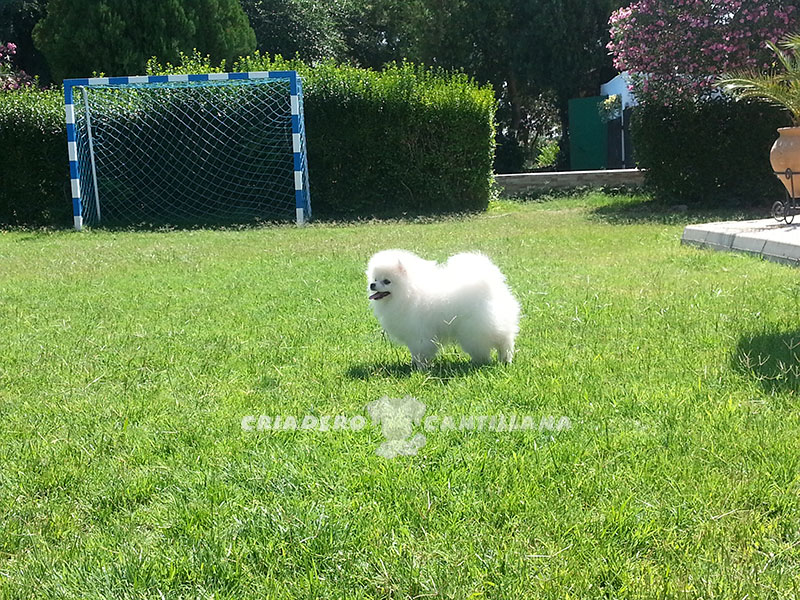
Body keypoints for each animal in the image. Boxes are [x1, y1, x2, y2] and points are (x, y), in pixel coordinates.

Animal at [366, 249, 520, 368]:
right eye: (375, 279)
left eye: (387, 281)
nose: (372, 285)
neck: (409, 292)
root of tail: (491, 284)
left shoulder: (419, 335)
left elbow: (420, 353)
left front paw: (420, 369)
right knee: (505, 340)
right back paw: (505, 360)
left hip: (476, 330)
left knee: (495, 343)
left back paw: (488, 361)